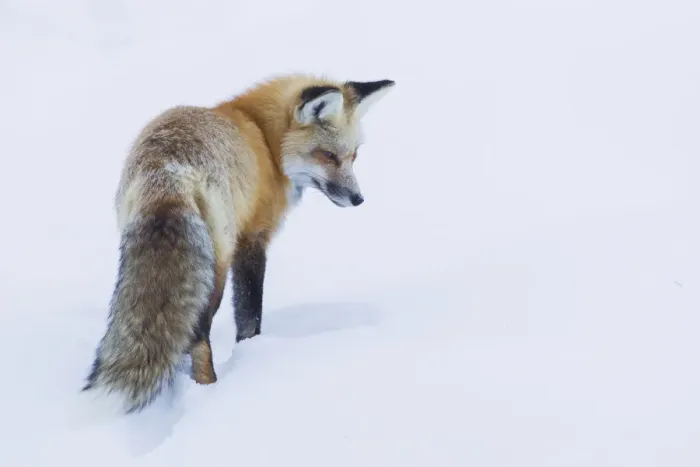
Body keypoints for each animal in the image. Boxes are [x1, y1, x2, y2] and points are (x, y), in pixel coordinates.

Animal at [81, 74, 395, 414]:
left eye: (354, 156)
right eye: (328, 155)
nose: (358, 199)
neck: (264, 140)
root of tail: (167, 172)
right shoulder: (251, 239)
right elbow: (249, 314)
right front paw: (251, 351)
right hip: (215, 268)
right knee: (198, 332)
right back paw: (207, 387)